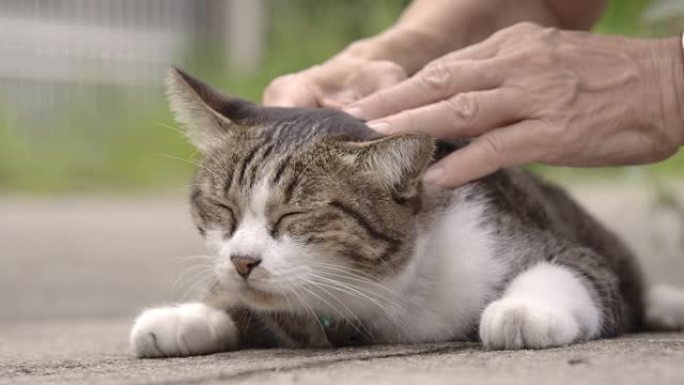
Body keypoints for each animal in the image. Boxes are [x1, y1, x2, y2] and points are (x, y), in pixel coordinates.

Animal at [130, 67, 684, 356]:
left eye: (294, 217)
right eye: (222, 206)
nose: (243, 261)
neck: (385, 299)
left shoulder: (554, 246)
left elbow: (570, 269)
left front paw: (524, 310)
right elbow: (238, 301)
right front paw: (187, 315)